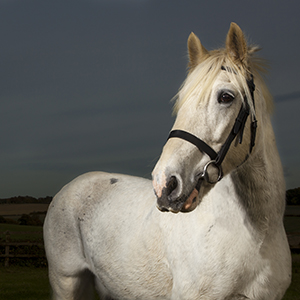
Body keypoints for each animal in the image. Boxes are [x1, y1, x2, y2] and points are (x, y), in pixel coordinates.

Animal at [44, 22, 290, 298]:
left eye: (226, 97)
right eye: (182, 102)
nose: (165, 184)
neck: (259, 234)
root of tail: (69, 188)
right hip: (66, 281)